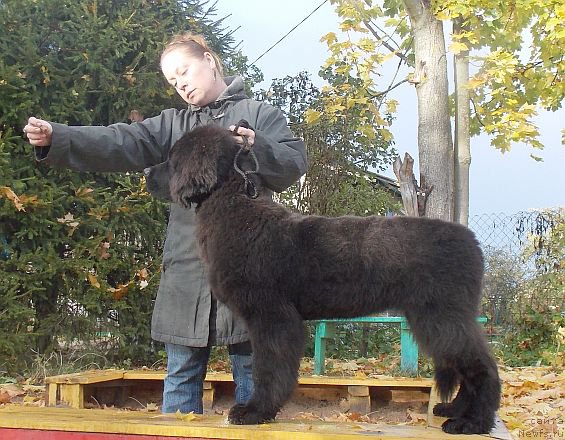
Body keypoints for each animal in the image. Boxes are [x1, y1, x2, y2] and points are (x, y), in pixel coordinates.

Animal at [143, 123, 500, 434]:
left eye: (173, 159)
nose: (146, 174)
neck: (234, 209)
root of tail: (472, 242)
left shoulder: (272, 315)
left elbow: (268, 368)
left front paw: (255, 412)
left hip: (441, 315)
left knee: (481, 365)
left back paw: (473, 422)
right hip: (434, 317)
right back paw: (456, 410)